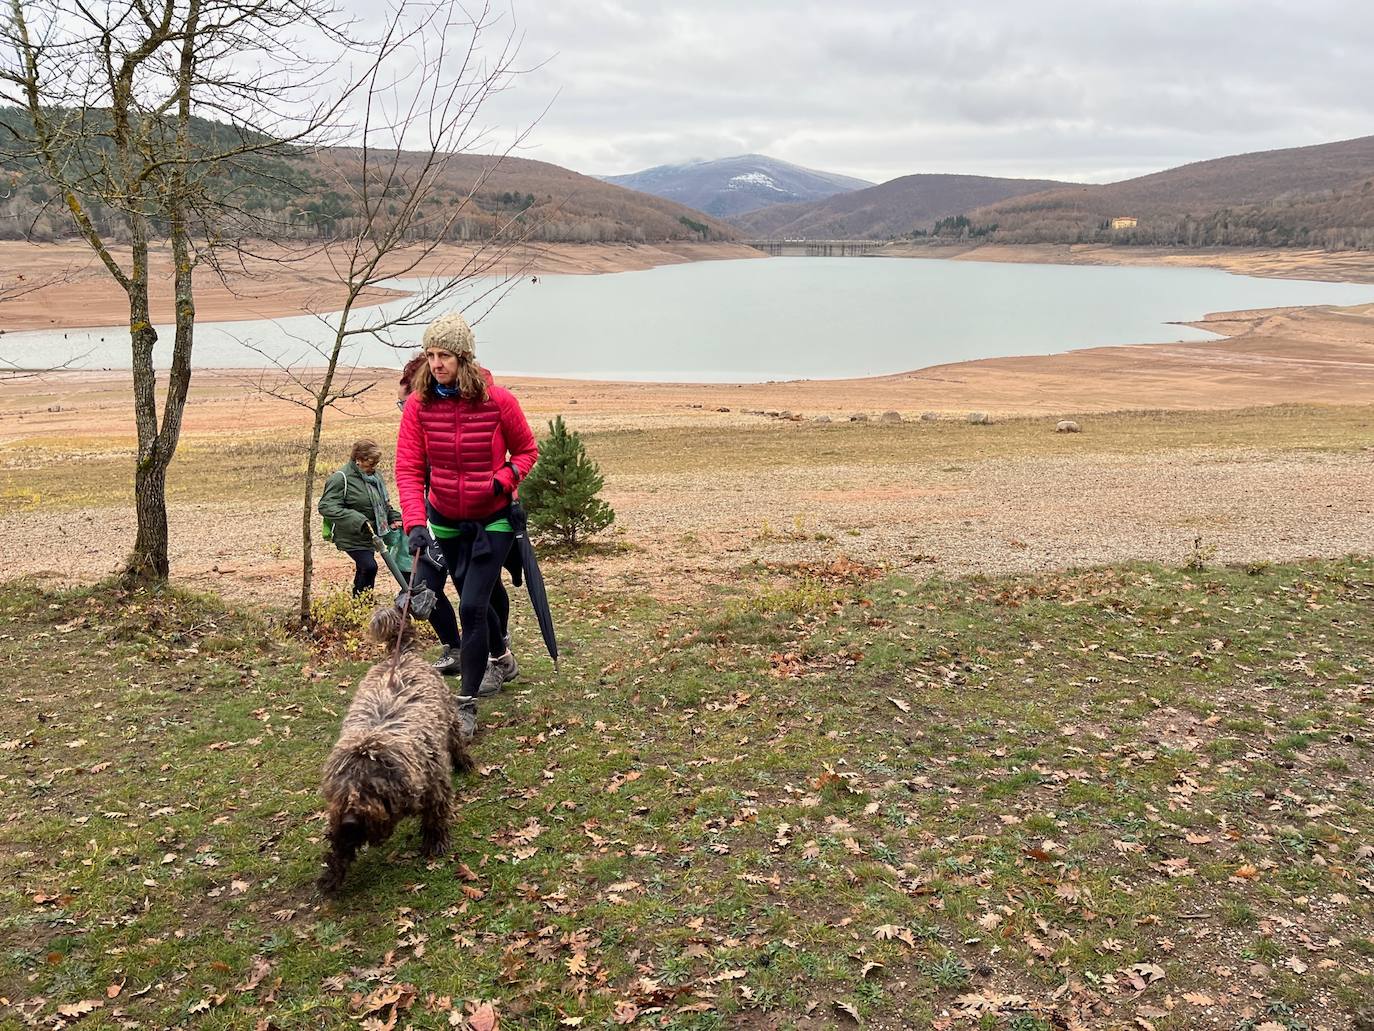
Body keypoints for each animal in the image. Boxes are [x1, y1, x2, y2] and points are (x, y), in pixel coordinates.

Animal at [318, 604, 475, 896]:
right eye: (341, 790)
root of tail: (402, 654)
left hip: (450, 720)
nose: (350, 822)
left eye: (371, 789)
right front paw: (333, 873)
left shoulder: (434, 783)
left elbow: (436, 815)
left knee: (458, 743)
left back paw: (465, 763)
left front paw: (435, 842)